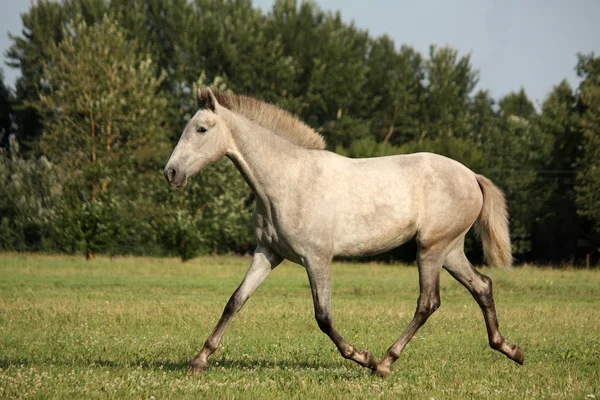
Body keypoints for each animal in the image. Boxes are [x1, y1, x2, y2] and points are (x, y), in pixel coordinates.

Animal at [162, 87, 524, 378]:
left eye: (201, 129)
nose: (171, 172)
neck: (287, 180)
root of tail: (472, 176)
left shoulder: (317, 258)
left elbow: (323, 316)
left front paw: (362, 357)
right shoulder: (268, 253)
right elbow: (235, 301)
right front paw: (199, 360)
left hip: (431, 250)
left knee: (428, 302)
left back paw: (385, 363)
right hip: (449, 250)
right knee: (482, 286)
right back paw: (510, 349)